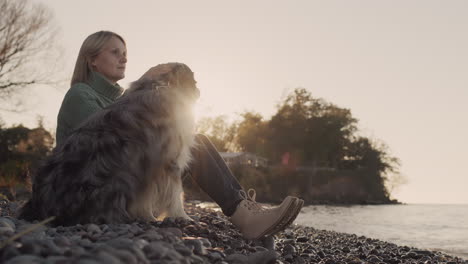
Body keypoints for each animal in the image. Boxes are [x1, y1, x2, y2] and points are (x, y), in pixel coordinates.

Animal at [20, 63, 199, 225]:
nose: (198, 91)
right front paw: (181, 216)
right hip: (118, 181)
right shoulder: (167, 162)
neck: (159, 84)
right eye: (194, 81)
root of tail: (37, 204)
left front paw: (149, 217)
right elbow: (175, 193)